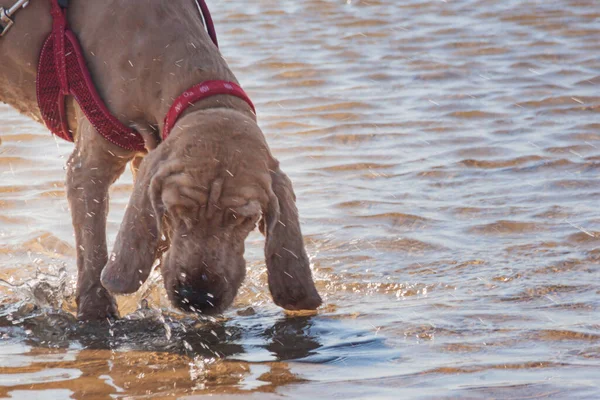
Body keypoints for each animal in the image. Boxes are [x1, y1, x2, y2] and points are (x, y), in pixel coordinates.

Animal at [0, 0, 322, 318]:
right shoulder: (88, 168)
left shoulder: (147, 158)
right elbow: (93, 249)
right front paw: (97, 311)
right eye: (177, 209)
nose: (197, 297)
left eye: (245, 219)